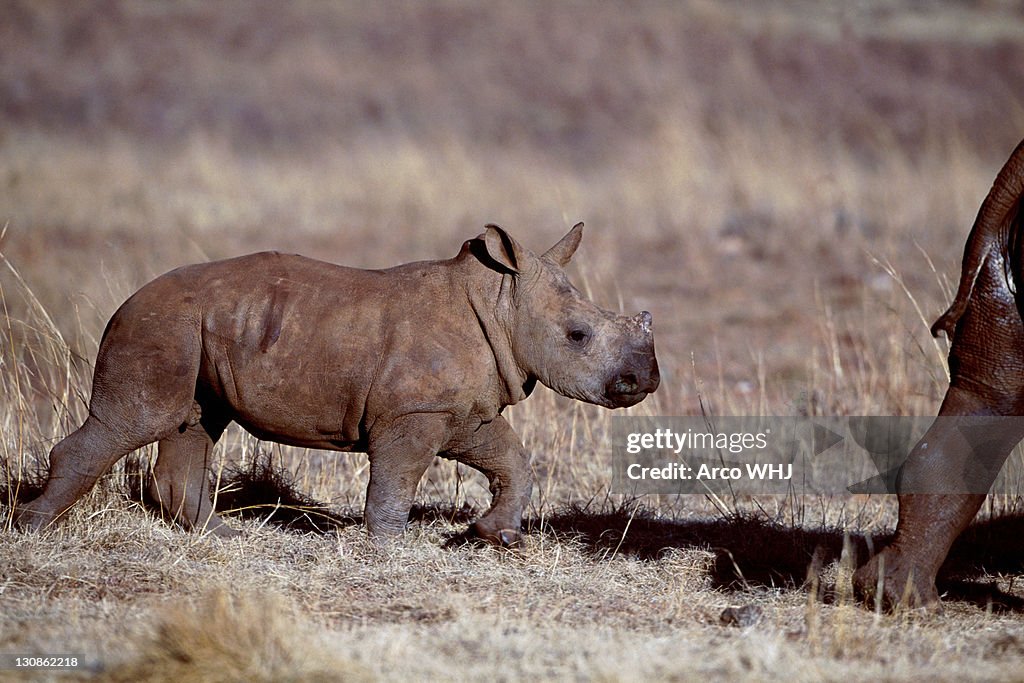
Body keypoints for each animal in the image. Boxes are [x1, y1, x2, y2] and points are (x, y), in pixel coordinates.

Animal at [18, 224, 663, 544]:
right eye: (578, 335)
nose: (645, 380)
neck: (499, 300)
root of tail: (127, 299)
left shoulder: (459, 411)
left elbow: (513, 459)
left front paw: (495, 536)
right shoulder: (412, 414)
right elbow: (396, 480)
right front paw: (390, 548)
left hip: (194, 327)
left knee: (192, 421)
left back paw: (224, 538)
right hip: (160, 325)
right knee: (135, 420)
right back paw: (32, 529)